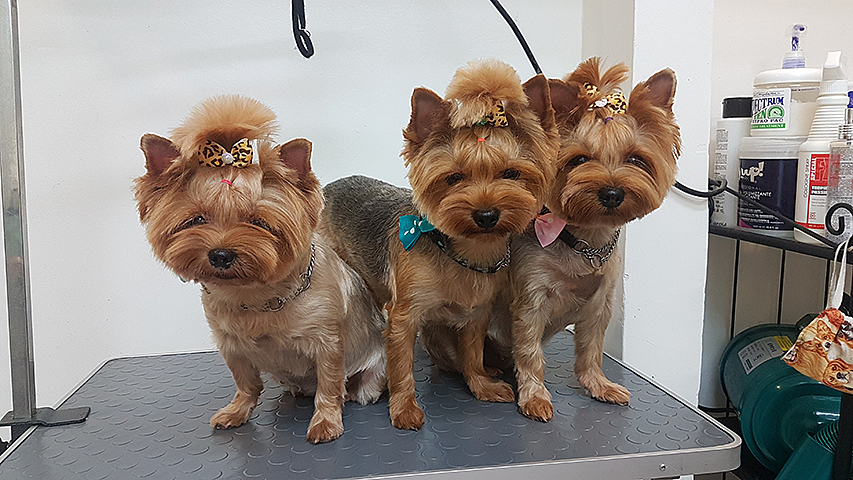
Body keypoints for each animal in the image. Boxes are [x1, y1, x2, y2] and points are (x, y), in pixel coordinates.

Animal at [134, 95, 386, 443]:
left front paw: (325, 422)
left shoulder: (328, 343)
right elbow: (246, 383)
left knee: (356, 387)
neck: (254, 296)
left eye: (259, 223)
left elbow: (329, 385)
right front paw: (237, 411)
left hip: (375, 368)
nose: (221, 254)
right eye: (196, 219)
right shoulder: (230, 345)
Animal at [320, 59, 559, 430]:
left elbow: (472, 354)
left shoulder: (476, 313)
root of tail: (331, 185)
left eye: (512, 174)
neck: (464, 252)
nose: (486, 214)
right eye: (454, 178)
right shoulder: (403, 316)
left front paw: (481, 386)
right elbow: (402, 367)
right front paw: (404, 409)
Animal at [487, 58, 680, 421]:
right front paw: (534, 396)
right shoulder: (530, 299)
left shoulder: (600, 302)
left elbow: (591, 349)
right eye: (579, 160)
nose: (612, 193)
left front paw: (598, 385)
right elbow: (530, 352)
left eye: (636, 159)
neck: (584, 240)